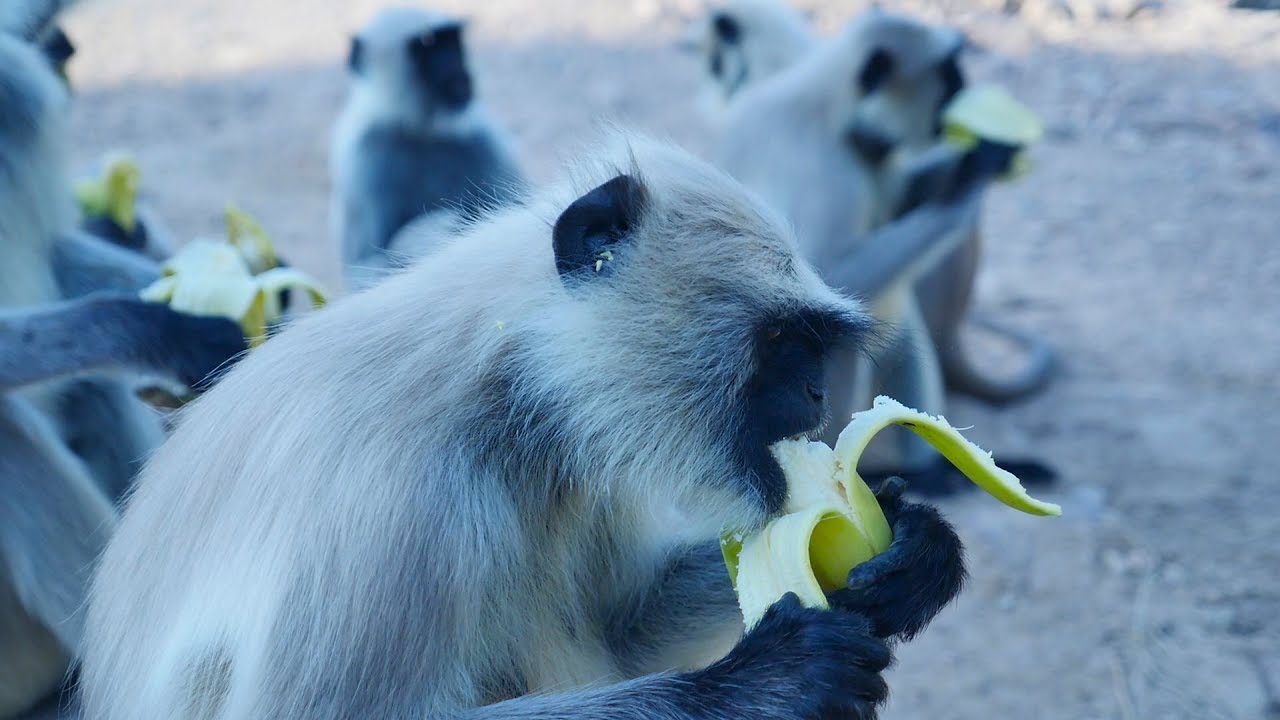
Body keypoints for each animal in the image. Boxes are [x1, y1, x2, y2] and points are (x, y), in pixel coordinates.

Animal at [81, 131, 967, 720]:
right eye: (783, 344)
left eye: (815, 349)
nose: (818, 394)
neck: (500, 393)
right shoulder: (383, 499)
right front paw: (770, 680)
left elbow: (627, 622)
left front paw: (912, 552)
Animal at [331, 6, 528, 292]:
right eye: (425, 48)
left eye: (452, 42)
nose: (457, 67)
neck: (422, 131)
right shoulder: (366, 156)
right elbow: (365, 267)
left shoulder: (485, 142)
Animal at [716, 8, 1056, 494]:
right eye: (948, 71)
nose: (964, 87)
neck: (836, 115)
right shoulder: (820, 168)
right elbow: (825, 276)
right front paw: (973, 173)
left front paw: (975, 158)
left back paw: (931, 471)